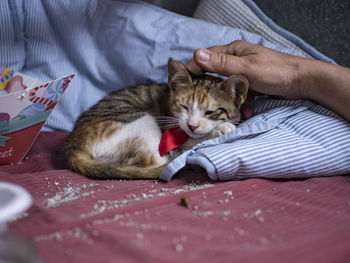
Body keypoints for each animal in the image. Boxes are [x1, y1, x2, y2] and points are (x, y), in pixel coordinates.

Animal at [63, 58, 249, 180]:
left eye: (210, 112)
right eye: (184, 106)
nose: (192, 125)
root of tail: (72, 147)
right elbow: (187, 141)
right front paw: (220, 128)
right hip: (139, 119)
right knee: (158, 160)